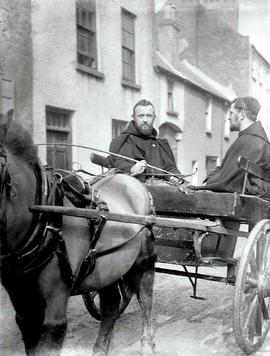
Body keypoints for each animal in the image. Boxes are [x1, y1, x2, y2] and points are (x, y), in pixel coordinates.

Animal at [0, 111, 156, 356]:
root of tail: (131, 179)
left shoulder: (56, 296)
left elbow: (52, 333)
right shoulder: (20, 294)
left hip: (143, 259)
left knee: (145, 299)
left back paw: (147, 344)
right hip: (110, 266)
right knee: (111, 305)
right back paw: (100, 349)